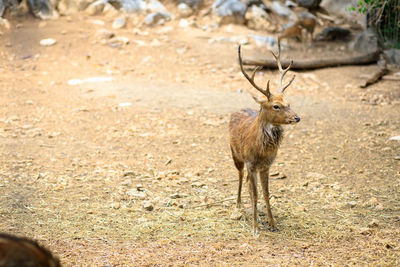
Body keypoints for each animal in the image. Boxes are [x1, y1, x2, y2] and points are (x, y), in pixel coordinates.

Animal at [228, 38, 300, 236]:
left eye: (289, 103)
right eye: (276, 106)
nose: (297, 117)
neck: (261, 150)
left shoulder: (266, 165)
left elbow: (266, 194)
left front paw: (272, 223)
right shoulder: (251, 163)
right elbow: (256, 194)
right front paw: (255, 228)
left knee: (247, 182)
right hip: (235, 155)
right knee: (240, 176)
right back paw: (238, 205)